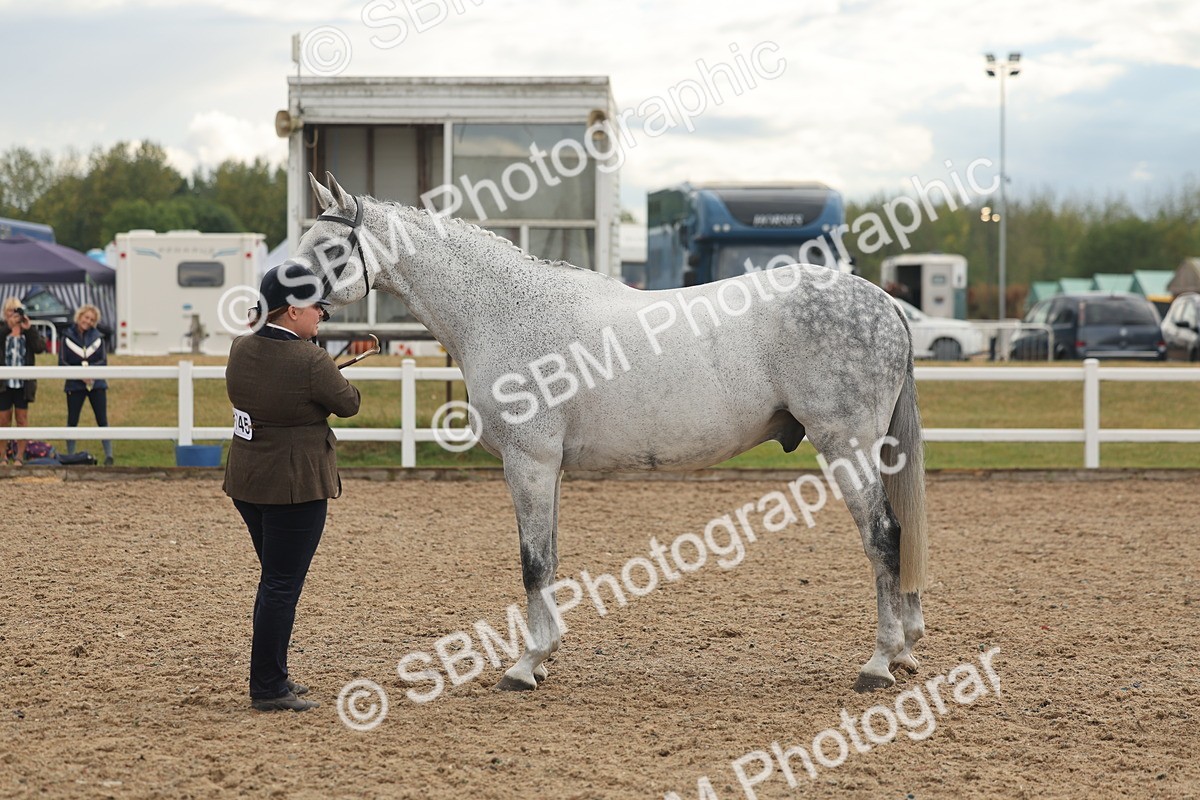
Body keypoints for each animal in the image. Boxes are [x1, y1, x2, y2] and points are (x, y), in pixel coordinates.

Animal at [288, 172, 929, 693]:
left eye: (329, 247)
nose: (276, 296)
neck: (499, 311)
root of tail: (884, 303)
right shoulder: (549, 467)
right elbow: (548, 557)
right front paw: (544, 657)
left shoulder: (528, 461)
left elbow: (533, 563)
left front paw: (524, 667)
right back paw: (904, 652)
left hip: (846, 446)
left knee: (883, 536)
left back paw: (878, 662)